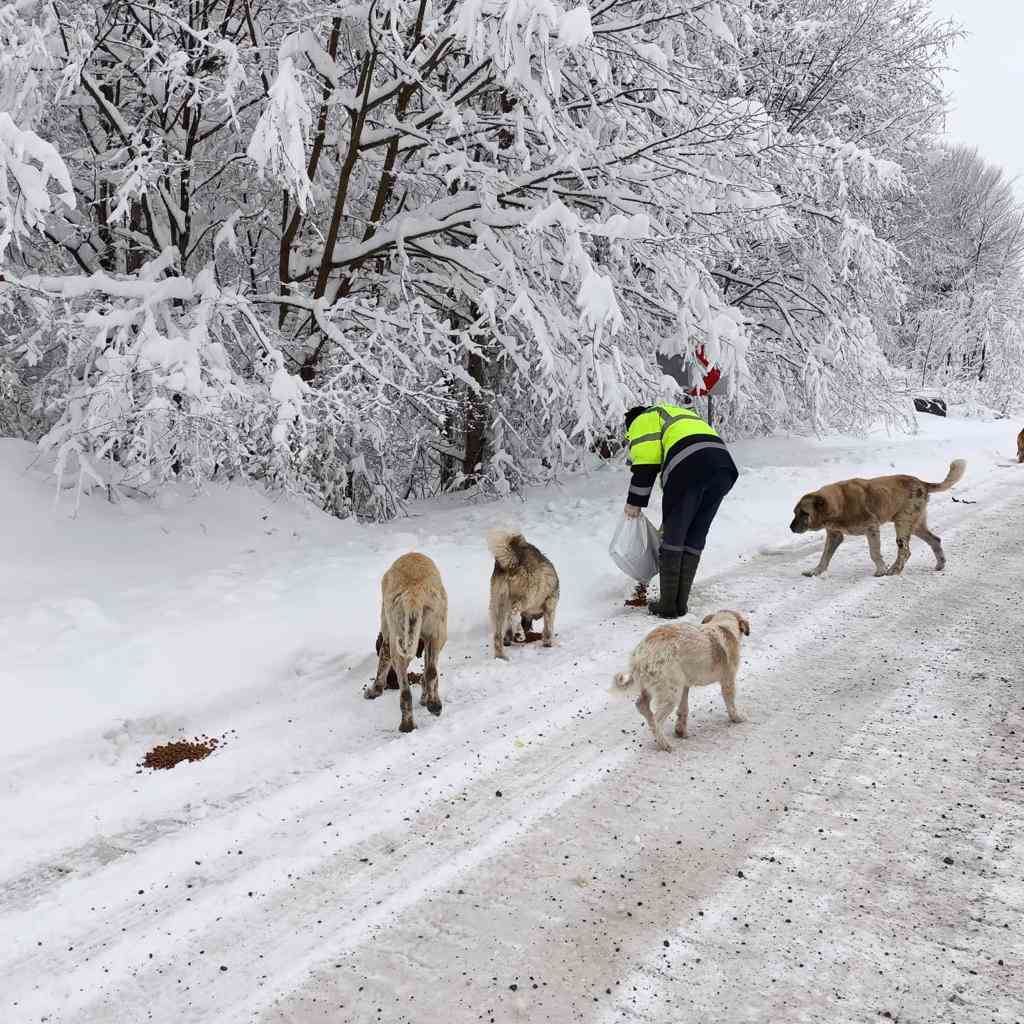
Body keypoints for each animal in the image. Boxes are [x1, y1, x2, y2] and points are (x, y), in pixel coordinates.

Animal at [610, 606, 749, 753]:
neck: (724, 626)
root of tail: (641, 653)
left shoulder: (685, 686)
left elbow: (683, 709)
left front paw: (680, 731)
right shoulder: (728, 680)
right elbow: (731, 703)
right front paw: (737, 718)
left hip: (659, 686)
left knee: (642, 705)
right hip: (671, 693)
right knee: (656, 719)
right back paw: (665, 744)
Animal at [790, 460, 966, 581]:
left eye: (804, 513)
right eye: (794, 512)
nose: (791, 528)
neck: (840, 503)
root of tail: (922, 483)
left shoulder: (872, 528)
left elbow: (874, 553)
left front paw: (881, 570)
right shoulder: (835, 535)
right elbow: (824, 556)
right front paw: (815, 572)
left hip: (902, 523)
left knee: (905, 550)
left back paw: (894, 570)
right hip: (915, 525)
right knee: (935, 540)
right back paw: (940, 564)